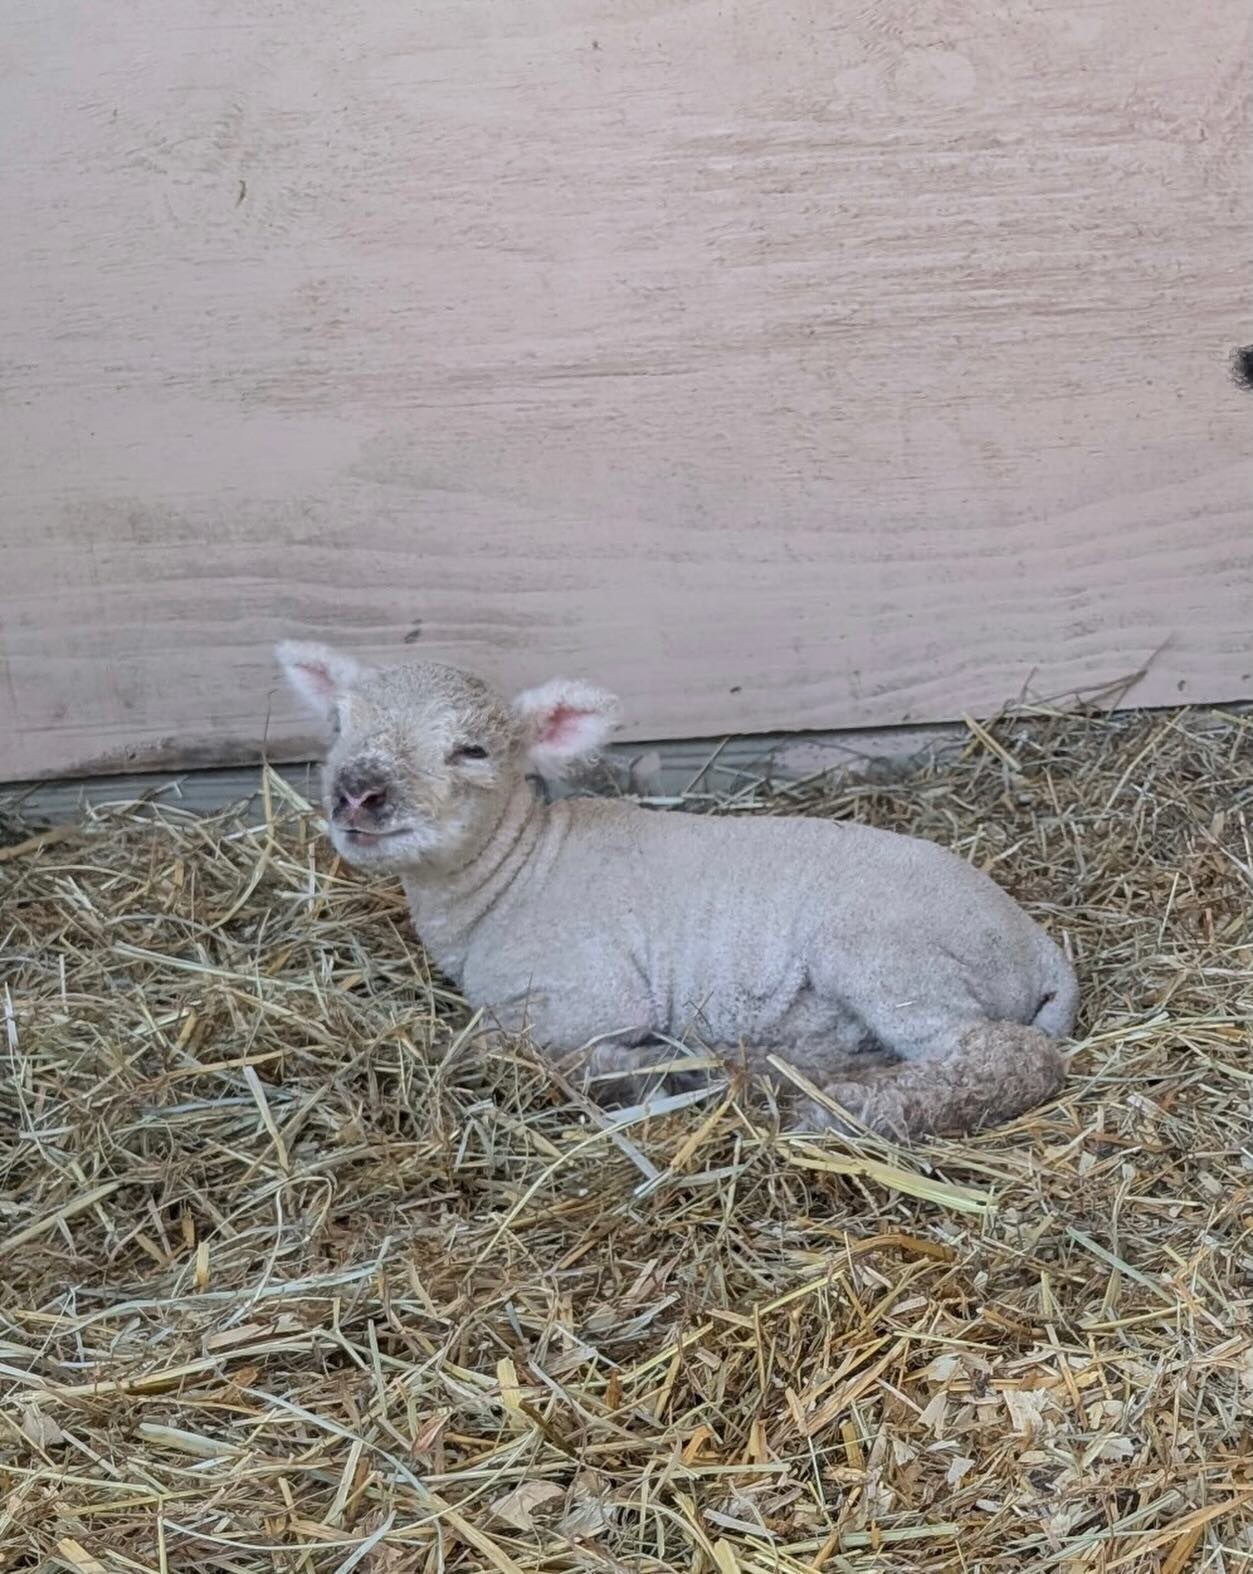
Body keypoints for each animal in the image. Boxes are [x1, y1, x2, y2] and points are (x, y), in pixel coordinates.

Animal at [277, 641, 1078, 1139]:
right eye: (338, 724)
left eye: (472, 750)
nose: (358, 793)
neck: (514, 873)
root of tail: (1040, 947)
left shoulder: (590, 992)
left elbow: (483, 1044)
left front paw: (638, 1071)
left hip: (892, 952)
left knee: (1006, 1059)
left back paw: (837, 1109)